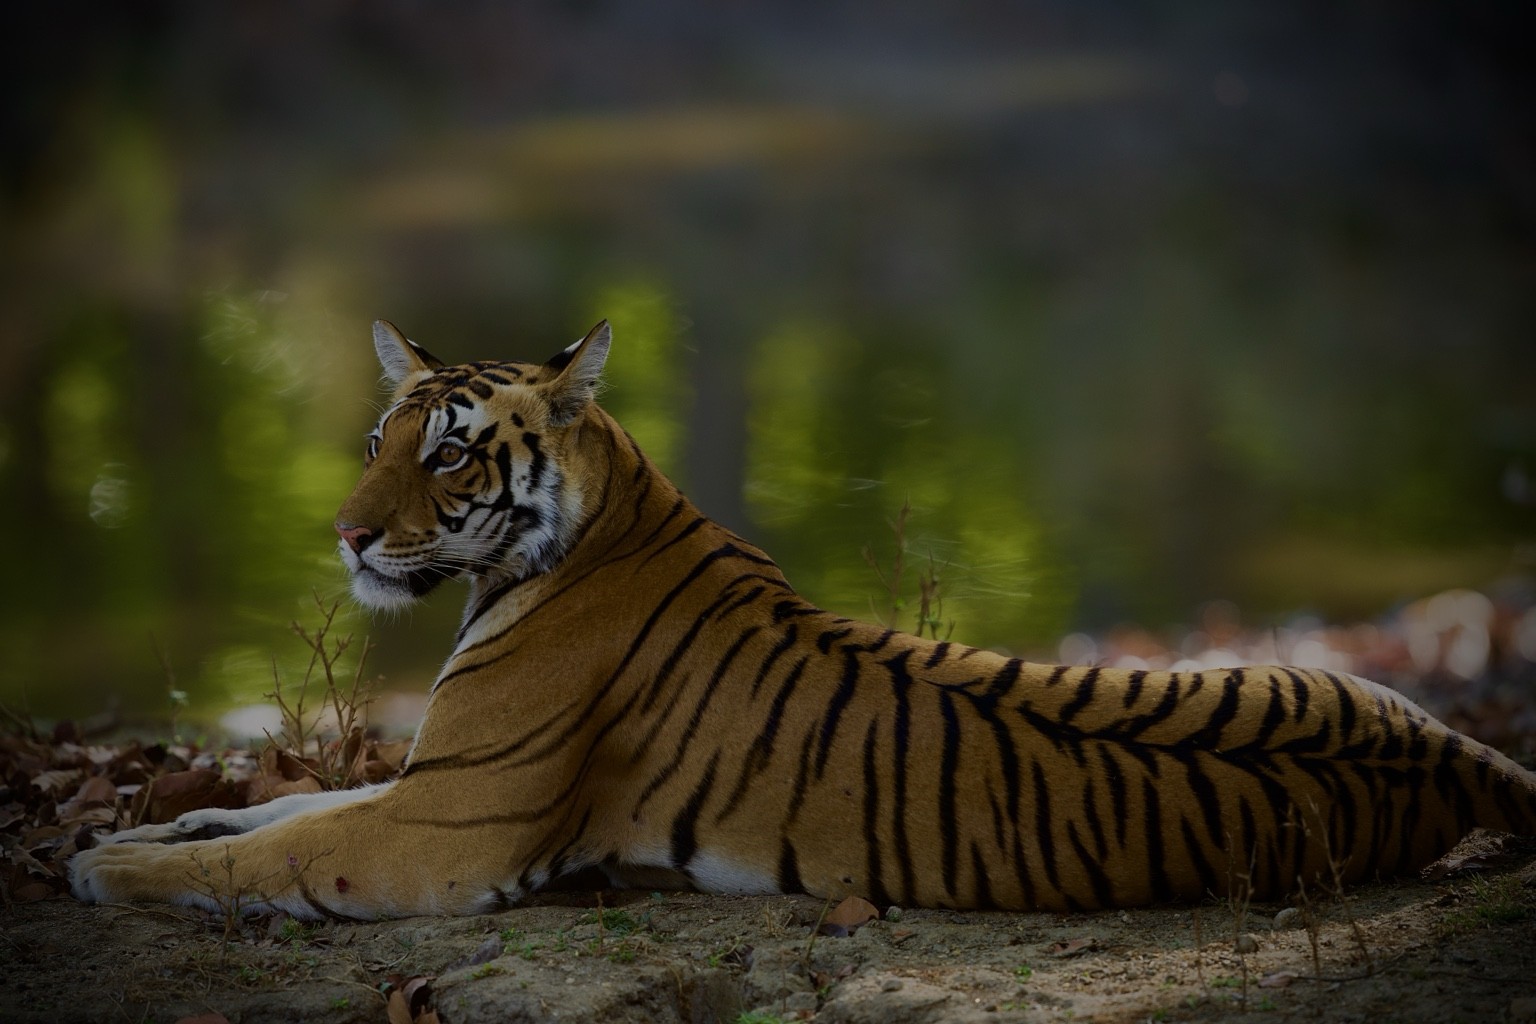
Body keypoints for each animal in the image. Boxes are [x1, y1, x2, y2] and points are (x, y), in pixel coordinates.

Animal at [70, 319, 1536, 921]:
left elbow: (280, 853)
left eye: (445, 453)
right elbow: (286, 806)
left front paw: (110, 869)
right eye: (378, 439)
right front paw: (156, 823)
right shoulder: (423, 789)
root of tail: (1461, 754)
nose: (347, 534)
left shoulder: (441, 829)